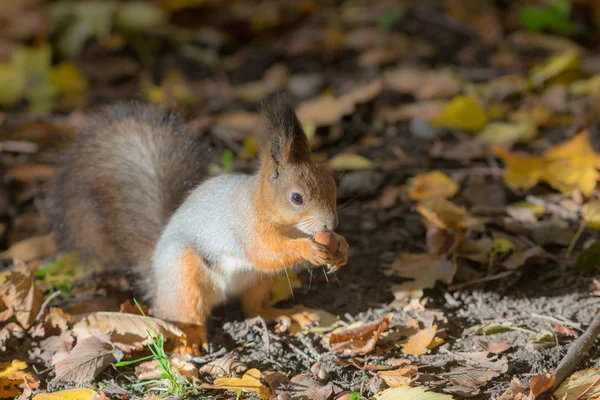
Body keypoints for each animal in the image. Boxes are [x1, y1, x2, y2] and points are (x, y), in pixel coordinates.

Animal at [49, 95, 350, 354]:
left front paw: (342, 247)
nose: (331, 223)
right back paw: (192, 339)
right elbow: (265, 252)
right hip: (185, 278)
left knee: (253, 309)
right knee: (190, 316)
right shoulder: (246, 227)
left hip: (258, 281)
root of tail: (157, 285)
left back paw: (290, 313)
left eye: (332, 185)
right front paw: (308, 250)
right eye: (296, 198)